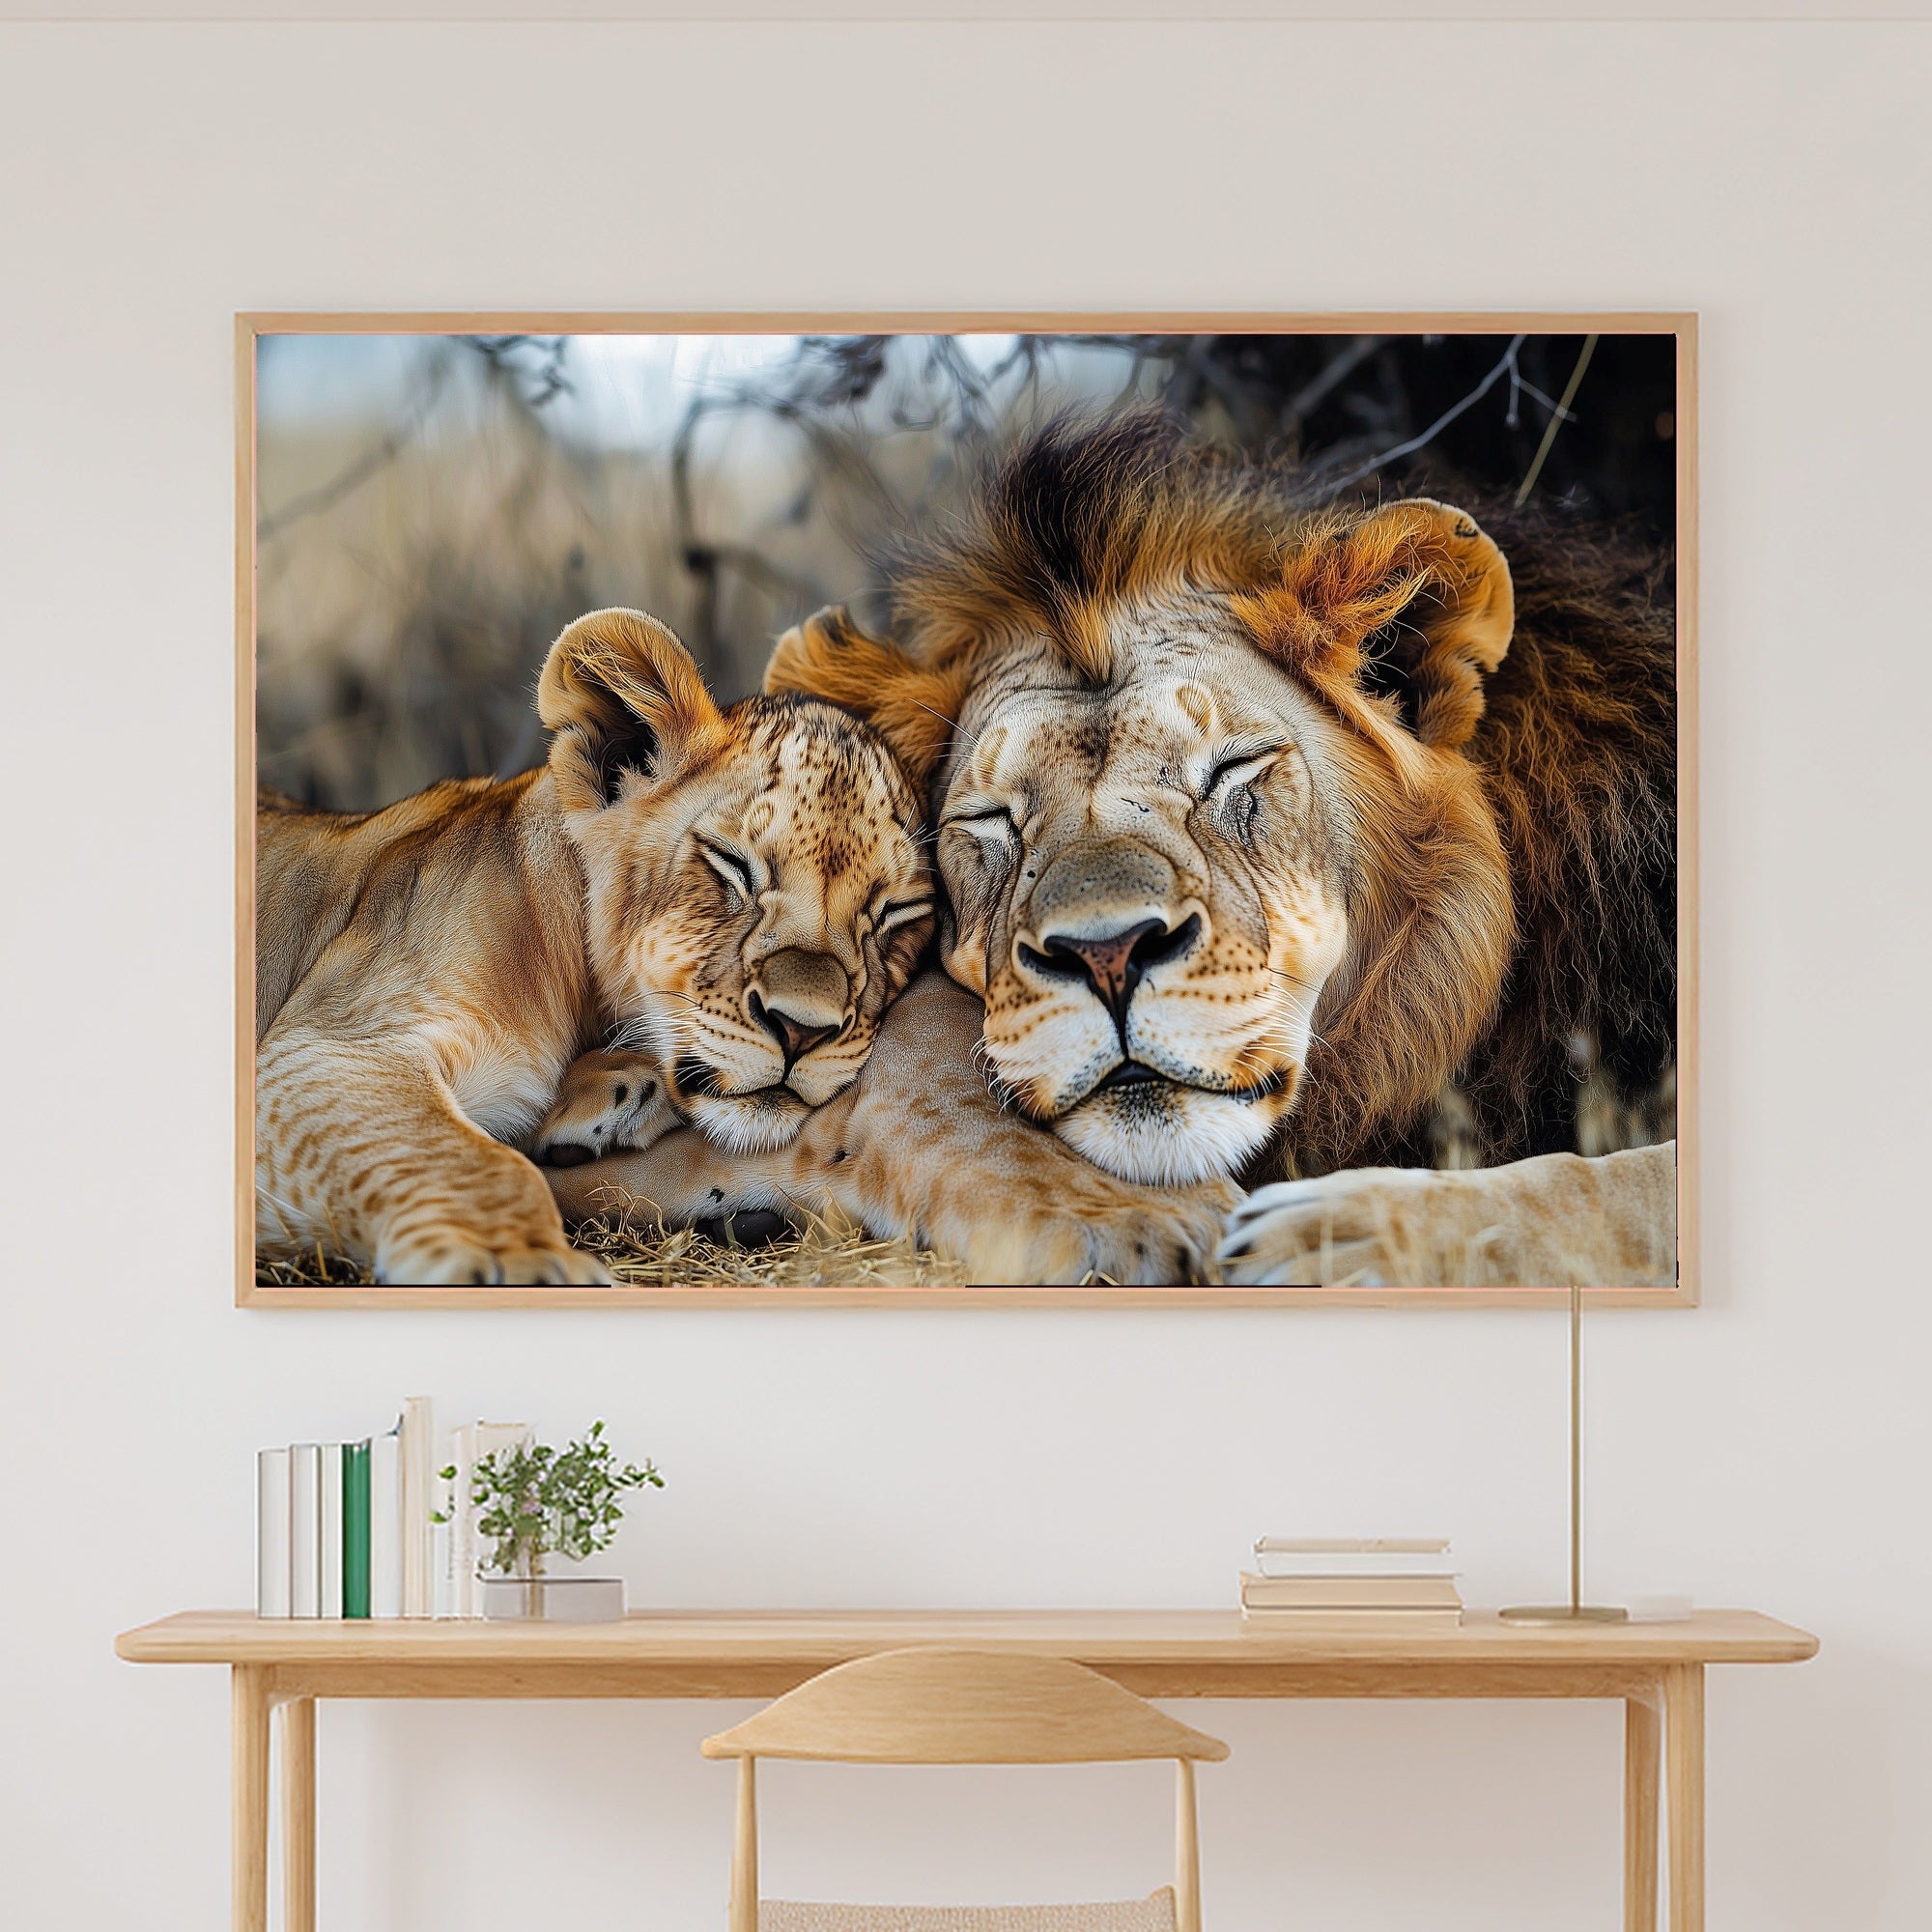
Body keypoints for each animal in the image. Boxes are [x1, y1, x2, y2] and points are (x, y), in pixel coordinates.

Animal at [255, 606, 936, 1286]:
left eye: (897, 912)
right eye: (732, 864)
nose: (802, 1030)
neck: (576, 986)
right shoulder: (329, 1047)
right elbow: (470, 1161)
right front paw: (524, 1263)